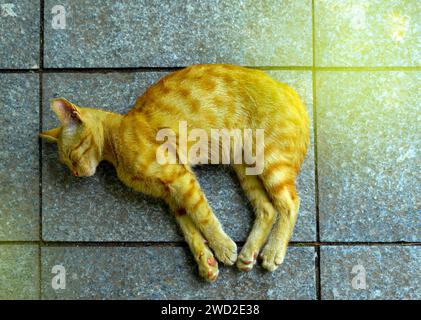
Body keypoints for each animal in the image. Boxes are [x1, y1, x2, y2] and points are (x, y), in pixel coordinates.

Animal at [40, 63, 308, 282]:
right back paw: (249, 253)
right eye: (67, 163)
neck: (115, 141)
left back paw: (273, 251)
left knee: (290, 203)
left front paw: (222, 247)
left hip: (270, 161)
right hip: (246, 168)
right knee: (268, 208)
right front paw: (205, 261)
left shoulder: (180, 179)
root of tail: (291, 91)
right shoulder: (171, 195)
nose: (75, 174)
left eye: (73, 156)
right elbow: (189, 228)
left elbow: (203, 216)